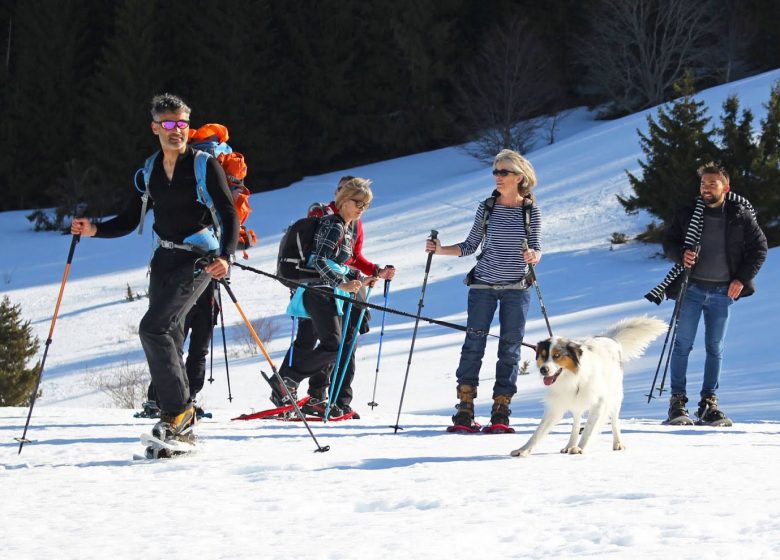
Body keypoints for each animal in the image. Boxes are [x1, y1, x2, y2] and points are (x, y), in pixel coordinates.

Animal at [508, 318, 668, 458]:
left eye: (557, 355)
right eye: (542, 356)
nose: (543, 370)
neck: (573, 378)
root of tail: (610, 338)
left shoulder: (599, 402)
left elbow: (589, 429)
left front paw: (580, 448)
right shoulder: (556, 405)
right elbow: (538, 432)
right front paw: (523, 450)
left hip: (615, 396)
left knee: (614, 421)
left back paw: (617, 443)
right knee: (576, 421)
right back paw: (569, 445)